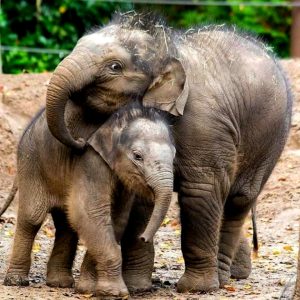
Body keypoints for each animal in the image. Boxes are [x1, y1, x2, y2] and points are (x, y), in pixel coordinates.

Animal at [2, 102, 176, 298]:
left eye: (174, 155)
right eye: (137, 156)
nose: (143, 237)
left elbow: (115, 219)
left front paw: (88, 289)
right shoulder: (90, 161)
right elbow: (89, 213)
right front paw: (115, 293)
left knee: (66, 224)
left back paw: (60, 283)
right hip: (31, 164)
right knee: (32, 217)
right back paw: (16, 281)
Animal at [43, 12, 292, 292]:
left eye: (114, 66)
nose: (79, 141)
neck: (166, 48)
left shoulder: (205, 126)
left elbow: (201, 191)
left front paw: (195, 289)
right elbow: (142, 199)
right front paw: (137, 287)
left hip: (271, 139)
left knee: (238, 200)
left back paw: (222, 279)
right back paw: (235, 274)